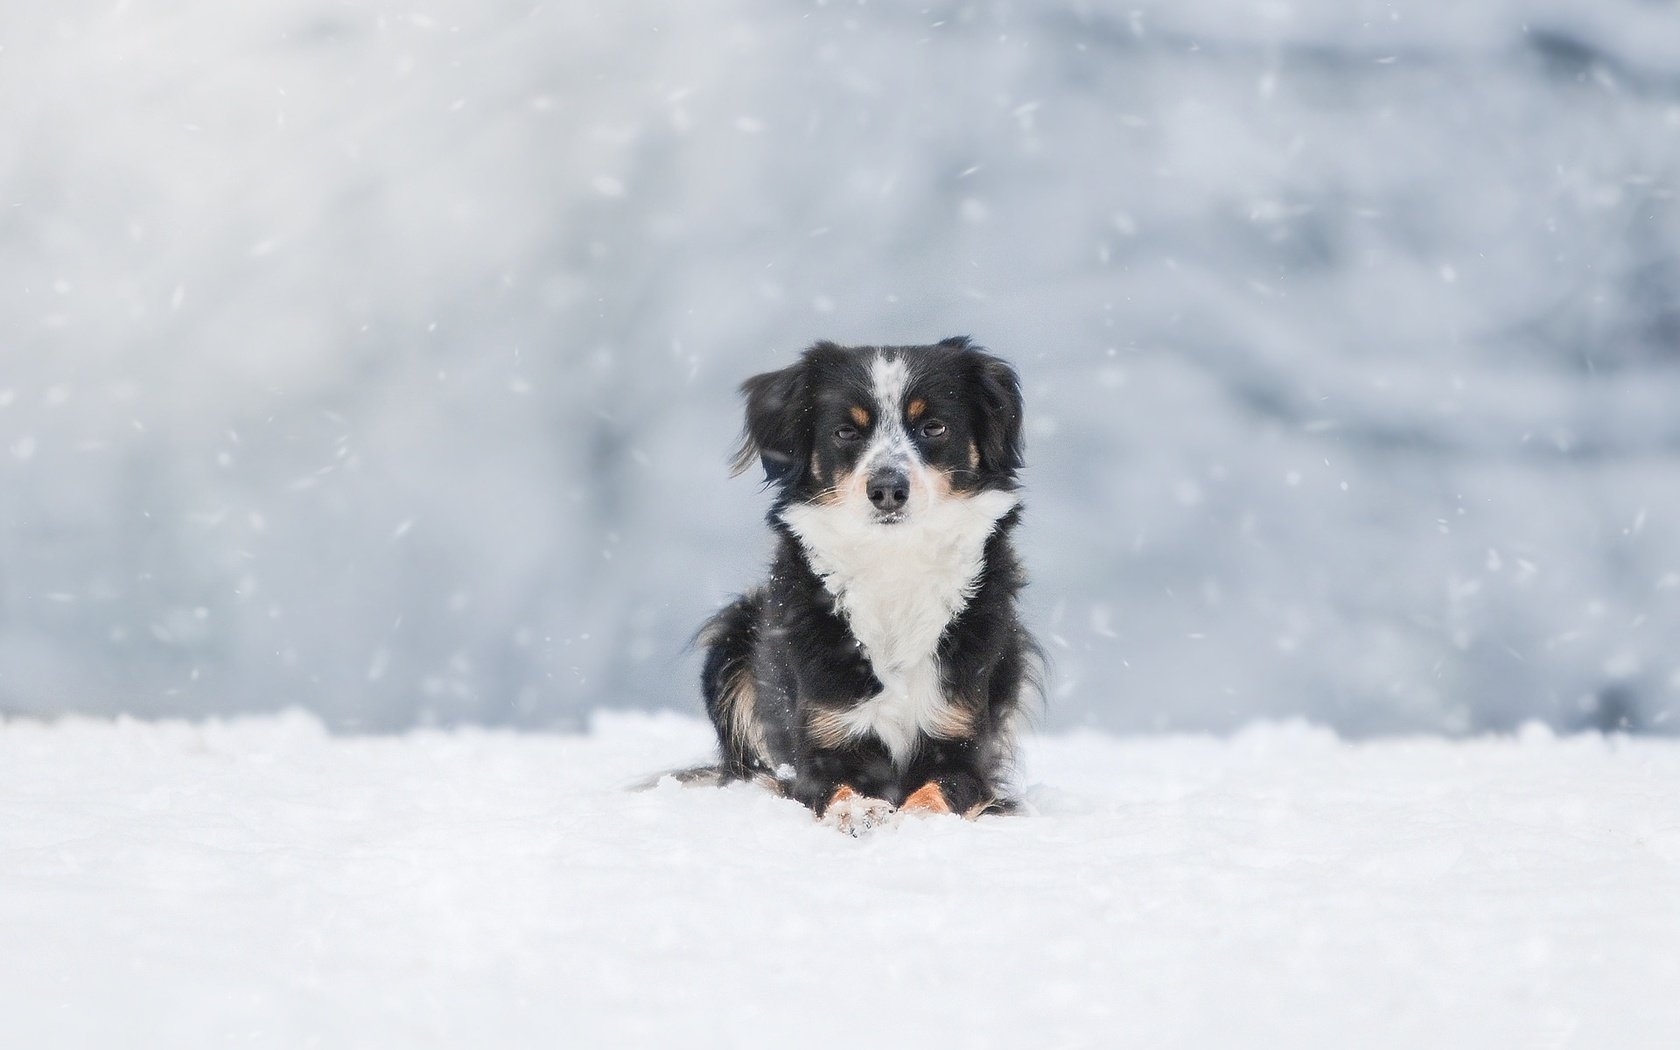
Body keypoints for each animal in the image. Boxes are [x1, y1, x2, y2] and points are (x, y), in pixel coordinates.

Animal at [695, 339, 1034, 829]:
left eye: (933, 427)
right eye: (845, 433)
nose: (888, 489)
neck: (893, 560)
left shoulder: (964, 737)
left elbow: (940, 791)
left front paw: (912, 818)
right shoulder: (820, 742)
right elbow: (835, 789)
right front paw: (860, 812)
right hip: (734, 634)